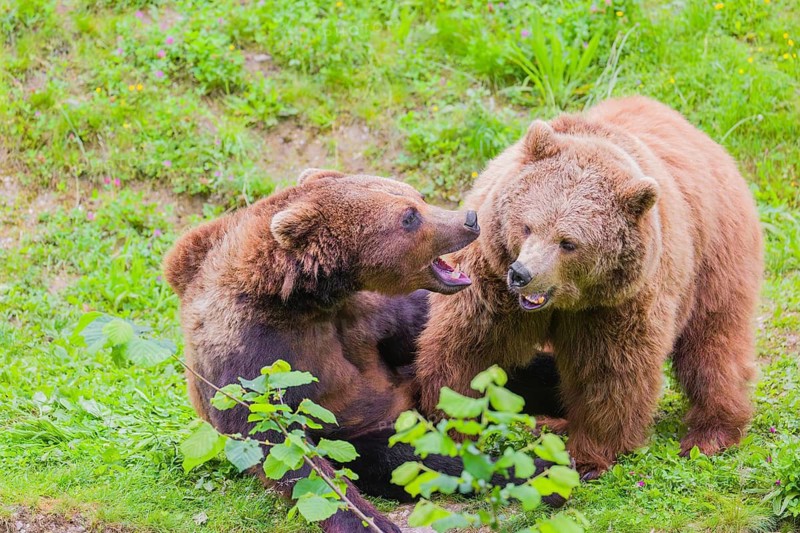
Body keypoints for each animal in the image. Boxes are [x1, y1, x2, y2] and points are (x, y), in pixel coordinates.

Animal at [164, 168, 482, 532]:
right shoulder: (250, 357)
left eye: (418, 197)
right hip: (365, 435)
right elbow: (282, 446)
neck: (300, 300)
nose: (470, 219)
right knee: (408, 457)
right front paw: (371, 521)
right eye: (409, 217)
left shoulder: (371, 315)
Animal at [414, 96, 763, 479]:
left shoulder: (616, 305)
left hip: (713, 258)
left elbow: (607, 374)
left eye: (568, 242)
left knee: (713, 346)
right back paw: (552, 421)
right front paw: (453, 424)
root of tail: (702, 137)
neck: (566, 303)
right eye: (527, 225)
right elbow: (466, 349)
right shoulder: (491, 279)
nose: (522, 274)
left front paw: (588, 456)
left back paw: (711, 432)